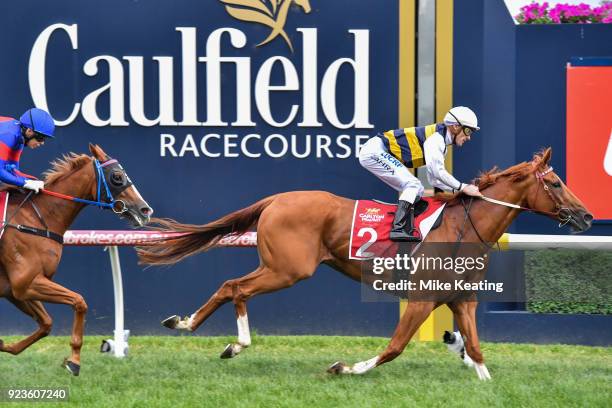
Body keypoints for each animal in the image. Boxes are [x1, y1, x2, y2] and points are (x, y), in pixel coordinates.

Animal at [0, 143, 152, 376]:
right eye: (117, 176)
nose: (145, 210)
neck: (36, 219)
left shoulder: (16, 289)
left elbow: (46, 323)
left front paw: (5, 345)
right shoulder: (25, 282)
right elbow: (79, 301)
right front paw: (74, 361)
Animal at [136, 149, 592, 380]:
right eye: (555, 183)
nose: (587, 216)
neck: (463, 227)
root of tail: (278, 199)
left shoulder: (462, 300)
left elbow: (478, 352)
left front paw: (483, 380)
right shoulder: (421, 301)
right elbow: (394, 348)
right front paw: (346, 367)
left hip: (281, 268)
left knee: (233, 286)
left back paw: (202, 330)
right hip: (288, 269)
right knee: (235, 286)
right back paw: (220, 336)